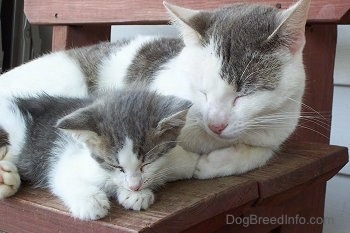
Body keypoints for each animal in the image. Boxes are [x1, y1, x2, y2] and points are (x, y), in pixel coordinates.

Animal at [0, 0, 310, 178]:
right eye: (202, 91)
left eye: (244, 94)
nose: (215, 124)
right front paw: (193, 162)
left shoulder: (279, 125)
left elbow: (263, 149)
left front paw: (220, 161)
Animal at [0, 88, 198, 219]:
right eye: (115, 165)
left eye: (147, 163)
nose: (135, 187)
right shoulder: (63, 157)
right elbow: (62, 176)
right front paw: (90, 201)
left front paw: (135, 195)